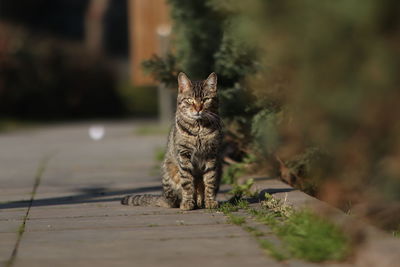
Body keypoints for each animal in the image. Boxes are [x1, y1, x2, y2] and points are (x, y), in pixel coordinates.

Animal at [120, 73, 223, 211]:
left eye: (206, 100)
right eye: (189, 100)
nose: (198, 109)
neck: (199, 128)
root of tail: (163, 197)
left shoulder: (211, 154)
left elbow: (209, 180)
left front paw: (210, 201)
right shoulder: (184, 154)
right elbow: (187, 182)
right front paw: (187, 203)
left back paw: (200, 201)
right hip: (169, 169)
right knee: (174, 200)